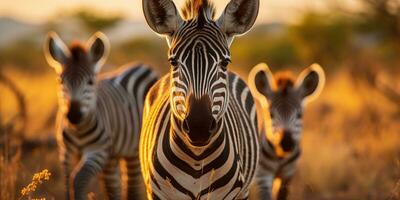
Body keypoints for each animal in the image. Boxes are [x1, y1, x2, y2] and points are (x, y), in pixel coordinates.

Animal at [42, 31, 158, 200]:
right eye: (60, 81)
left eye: (90, 82)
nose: (74, 115)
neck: (79, 130)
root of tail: (143, 65)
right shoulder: (65, 152)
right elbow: (67, 182)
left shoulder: (98, 152)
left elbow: (78, 179)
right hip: (112, 157)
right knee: (114, 189)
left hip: (133, 151)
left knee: (132, 189)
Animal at [140, 0, 260, 199]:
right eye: (173, 62)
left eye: (225, 63)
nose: (199, 128)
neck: (196, 159)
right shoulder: (158, 192)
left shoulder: (230, 194)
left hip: (244, 191)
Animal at [247, 62, 324, 200]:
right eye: (271, 114)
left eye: (299, 115)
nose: (286, 143)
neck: (281, 157)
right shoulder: (263, 174)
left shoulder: (288, 174)